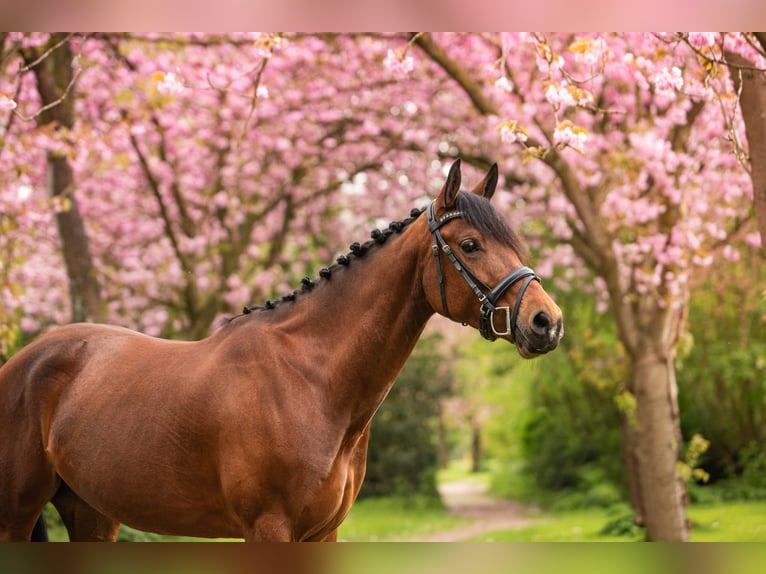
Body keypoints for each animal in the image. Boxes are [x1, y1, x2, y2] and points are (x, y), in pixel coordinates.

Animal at [0, 159, 563, 542]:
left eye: (514, 243)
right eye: (470, 245)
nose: (547, 321)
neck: (310, 379)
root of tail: (25, 360)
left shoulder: (323, 532)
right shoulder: (269, 528)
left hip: (91, 512)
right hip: (17, 515)